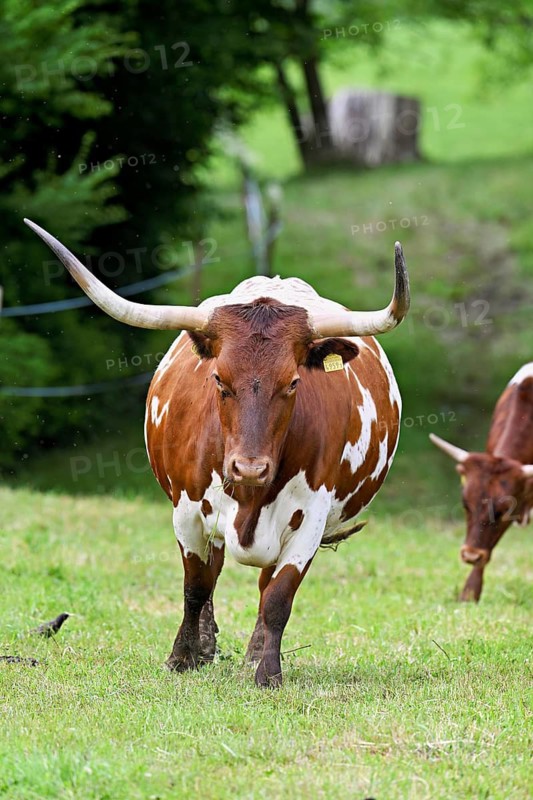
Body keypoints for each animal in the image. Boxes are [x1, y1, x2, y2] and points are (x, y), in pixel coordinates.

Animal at [25, 218, 410, 687]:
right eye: (219, 380)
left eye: (293, 383)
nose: (249, 468)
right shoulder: (188, 511)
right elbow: (196, 587)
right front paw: (183, 658)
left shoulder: (310, 520)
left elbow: (278, 597)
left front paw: (267, 673)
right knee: (213, 571)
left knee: (263, 586)